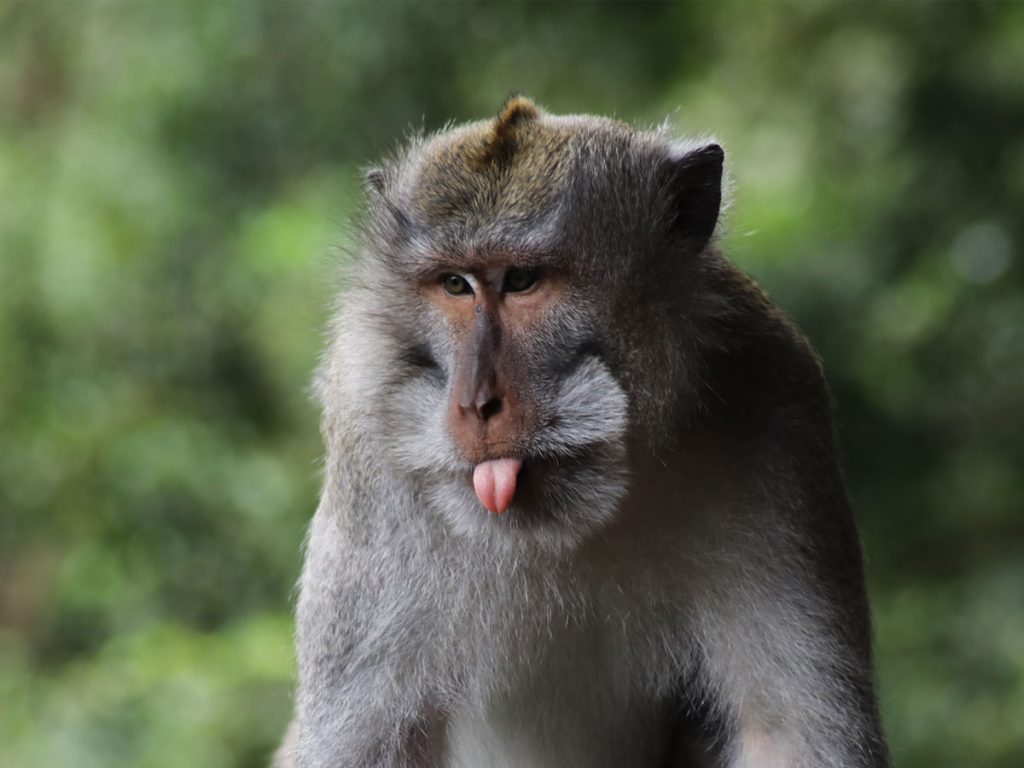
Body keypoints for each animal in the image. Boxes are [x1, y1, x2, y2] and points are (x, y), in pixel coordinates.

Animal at [274, 97, 888, 768]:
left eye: (523, 281)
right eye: (455, 285)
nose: (476, 403)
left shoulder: (775, 397)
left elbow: (790, 733)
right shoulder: (365, 436)